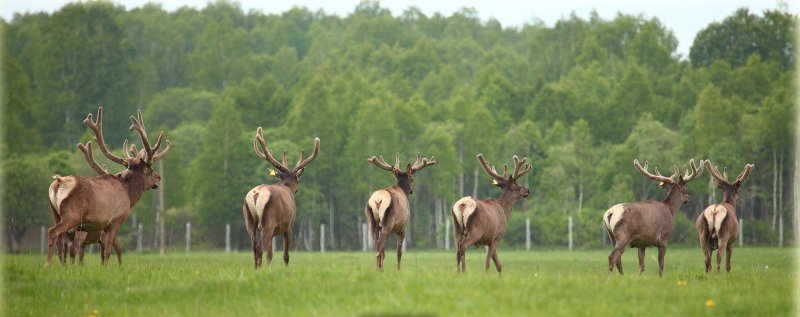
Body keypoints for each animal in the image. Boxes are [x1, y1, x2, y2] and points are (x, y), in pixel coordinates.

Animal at [46, 107, 171, 266]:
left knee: (61, 243)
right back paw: (47, 264)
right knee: (54, 233)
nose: (158, 176)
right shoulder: (115, 221)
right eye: (149, 169)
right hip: (72, 215)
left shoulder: (103, 226)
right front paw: (107, 268)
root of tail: (57, 182)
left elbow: (106, 251)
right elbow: (108, 251)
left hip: (55, 213)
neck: (128, 195)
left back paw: (61, 266)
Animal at [244, 127, 318, 268]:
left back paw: (256, 270)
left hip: (250, 221)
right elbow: (286, 255)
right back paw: (263, 270)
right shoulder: (289, 226)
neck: (287, 187)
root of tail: (256, 194)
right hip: (267, 222)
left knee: (254, 247)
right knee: (260, 248)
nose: (296, 190)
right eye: (297, 179)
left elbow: (271, 254)